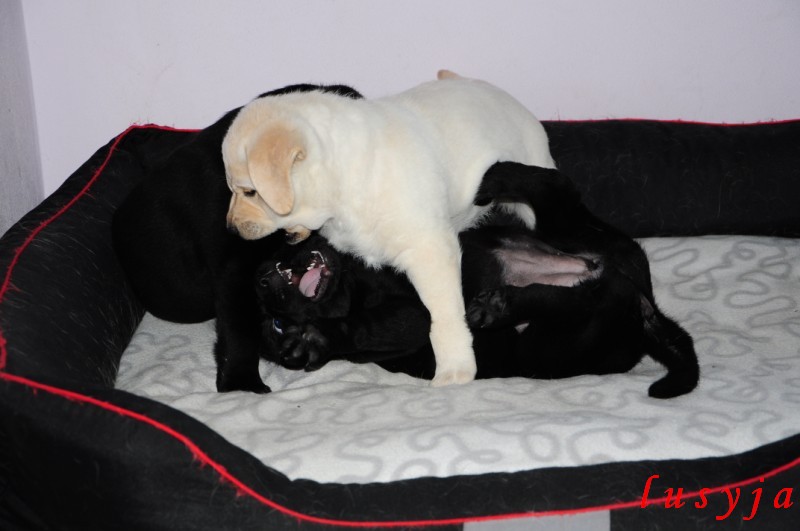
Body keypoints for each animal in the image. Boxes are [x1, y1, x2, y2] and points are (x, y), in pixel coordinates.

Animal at [222, 71, 556, 386]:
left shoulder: (430, 249)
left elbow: (443, 314)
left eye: (250, 192)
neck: (343, 182)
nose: (232, 230)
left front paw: (454, 368)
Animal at [255, 163, 699, 399]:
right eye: (275, 325)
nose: (265, 276)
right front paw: (313, 340)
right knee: (583, 297)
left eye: (279, 251)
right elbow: (366, 325)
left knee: (557, 188)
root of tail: (649, 312)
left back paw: (497, 179)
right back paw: (498, 306)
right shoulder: (410, 321)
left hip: (575, 234)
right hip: (551, 342)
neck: (352, 284)